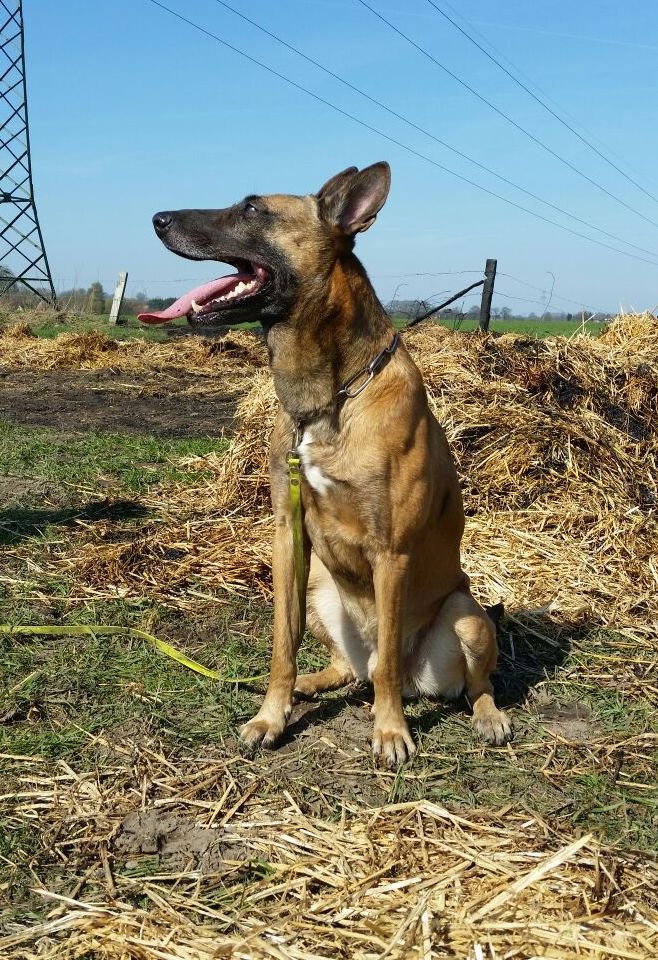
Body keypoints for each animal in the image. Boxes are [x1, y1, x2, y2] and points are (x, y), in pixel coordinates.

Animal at [140, 161, 512, 768]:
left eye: (252, 208)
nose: (157, 218)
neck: (329, 399)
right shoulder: (288, 537)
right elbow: (281, 645)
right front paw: (272, 714)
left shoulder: (392, 552)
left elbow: (387, 667)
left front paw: (390, 731)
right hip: (319, 589)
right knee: (350, 668)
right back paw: (314, 684)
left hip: (467, 614)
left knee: (454, 679)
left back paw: (486, 716)